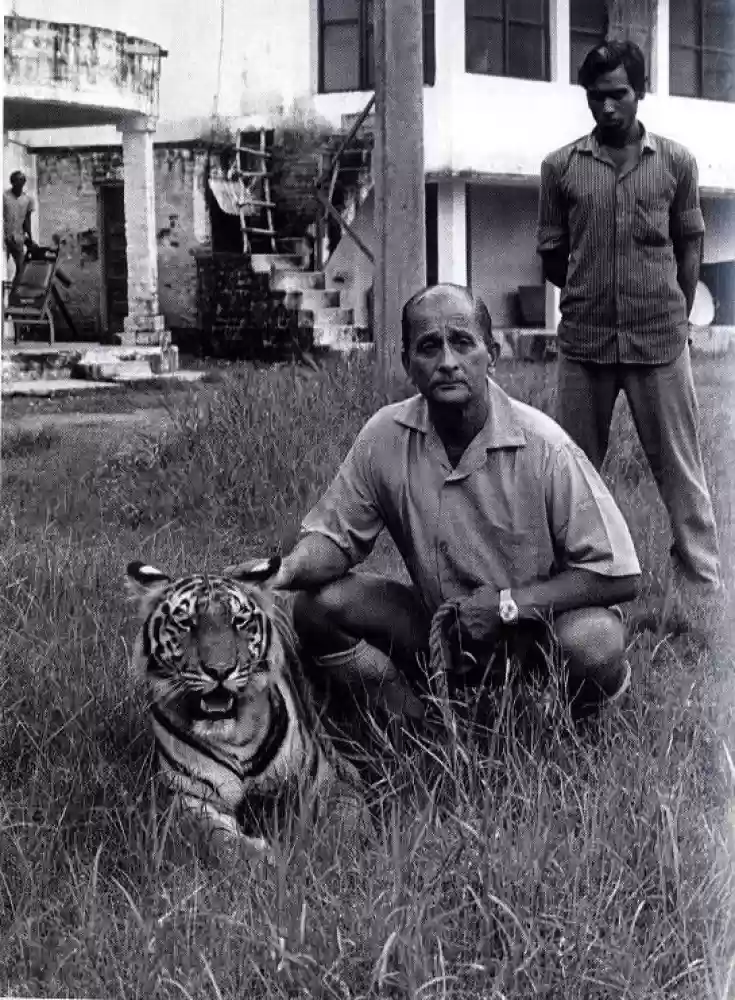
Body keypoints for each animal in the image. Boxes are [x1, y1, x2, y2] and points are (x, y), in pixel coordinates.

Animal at [127, 556, 368, 860]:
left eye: (238, 621)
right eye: (187, 623)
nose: (220, 671)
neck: (234, 733)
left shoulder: (322, 782)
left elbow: (344, 820)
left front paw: (329, 853)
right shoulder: (190, 799)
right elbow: (221, 842)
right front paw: (268, 861)